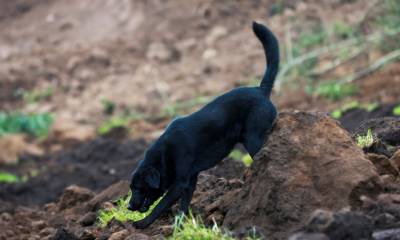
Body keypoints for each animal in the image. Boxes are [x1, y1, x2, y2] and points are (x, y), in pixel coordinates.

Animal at [127, 21, 278, 229]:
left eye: (139, 188)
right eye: (131, 188)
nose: (129, 206)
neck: (164, 155)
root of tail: (260, 90)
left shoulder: (180, 183)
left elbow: (160, 205)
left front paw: (143, 223)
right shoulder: (190, 180)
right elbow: (183, 205)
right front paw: (180, 226)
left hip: (253, 139)